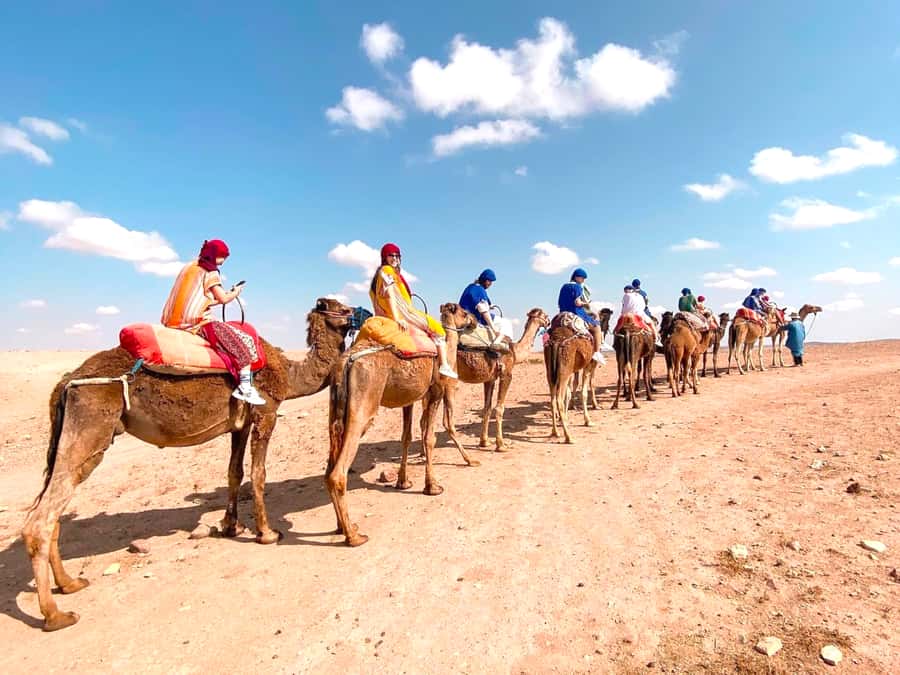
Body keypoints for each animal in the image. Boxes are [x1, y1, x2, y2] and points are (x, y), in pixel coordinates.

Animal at [21, 298, 356, 631]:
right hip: (91, 425)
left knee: (52, 506)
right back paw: (55, 614)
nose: (359, 312)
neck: (290, 371)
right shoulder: (266, 412)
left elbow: (234, 472)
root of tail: (66, 382)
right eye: (343, 309)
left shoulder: (240, 423)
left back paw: (70, 584)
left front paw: (231, 526)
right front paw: (267, 533)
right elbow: (258, 474)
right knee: (43, 516)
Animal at [325, 303, 476, 547]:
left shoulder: (409, 398)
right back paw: (354, 536)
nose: (474, 320)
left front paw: (403, 482)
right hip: (364, 404)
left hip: (334, 409)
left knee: (329, 467)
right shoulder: (435, 391)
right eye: (463, 312)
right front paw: (433, 487)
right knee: (338, 472)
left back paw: (344, 526)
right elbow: (430, 438)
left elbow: (406, 437)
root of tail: (345, 362)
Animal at [443, 308, 549, 454]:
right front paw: (501, 445)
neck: (514, 350)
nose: (549, 321)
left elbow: (487, 408)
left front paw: (484, 442)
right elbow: (499, 408)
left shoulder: (490, 379)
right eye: (544, 314)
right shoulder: (506, 374)